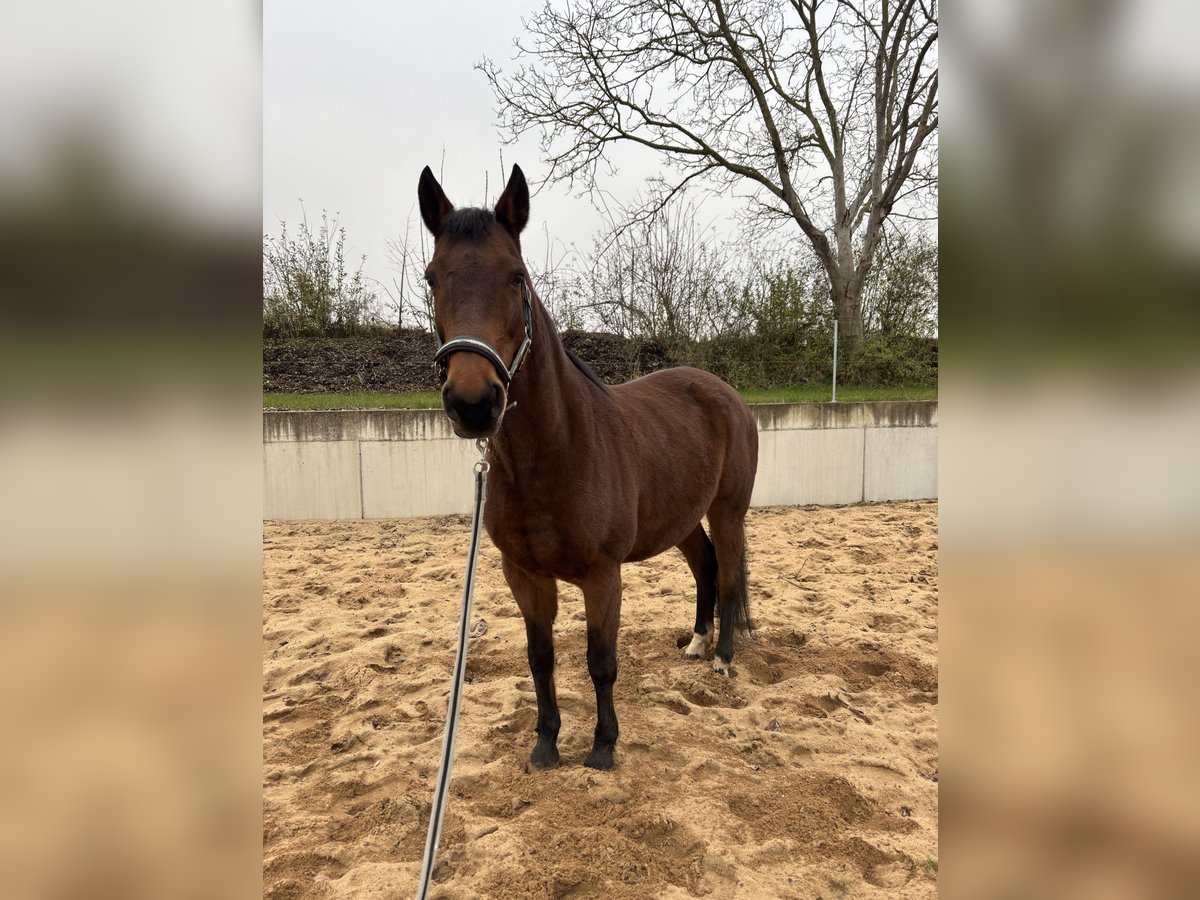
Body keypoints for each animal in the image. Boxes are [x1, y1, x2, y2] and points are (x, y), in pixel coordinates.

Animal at [422, 165, 753, 772]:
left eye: (517, 277)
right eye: (432, 279)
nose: (473, 403)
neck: (555, 455)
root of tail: (723, 392)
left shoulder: (603, 576)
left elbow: (601, 661)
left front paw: (602, 747)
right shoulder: (524, 575)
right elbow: (541, 657)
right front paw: (546, 743)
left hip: (728, 512)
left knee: (729, 572)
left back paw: (721, 656)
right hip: (681, 519)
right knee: (705, 567)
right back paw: (696, 644)